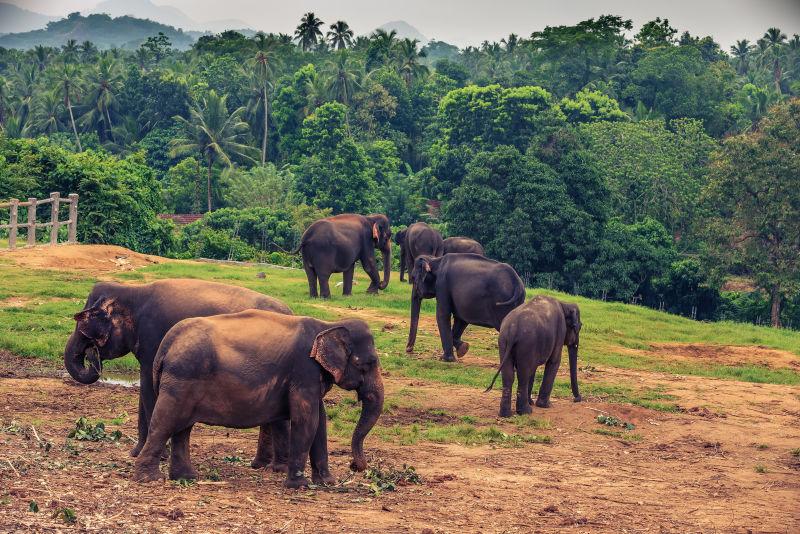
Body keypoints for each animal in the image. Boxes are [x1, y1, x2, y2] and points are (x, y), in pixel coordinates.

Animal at [63, 280, 294, 468]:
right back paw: (260, 465)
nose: (91, 352)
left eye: (83, 327)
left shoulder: (152, 339)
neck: (132, 290)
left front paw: (154, 456)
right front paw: (136, 453)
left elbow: (149, 390)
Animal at [134, 310, 384, 490]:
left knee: (182, 429)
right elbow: (307, 421)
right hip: (181, 380)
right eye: (368, 364)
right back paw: (149, 479)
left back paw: (186, 478)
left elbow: (320, 423)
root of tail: (167, 342)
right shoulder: (304, 371)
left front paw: (327, 483)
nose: (356, 466)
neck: (327, 325)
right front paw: (299, 486)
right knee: (166, 422)